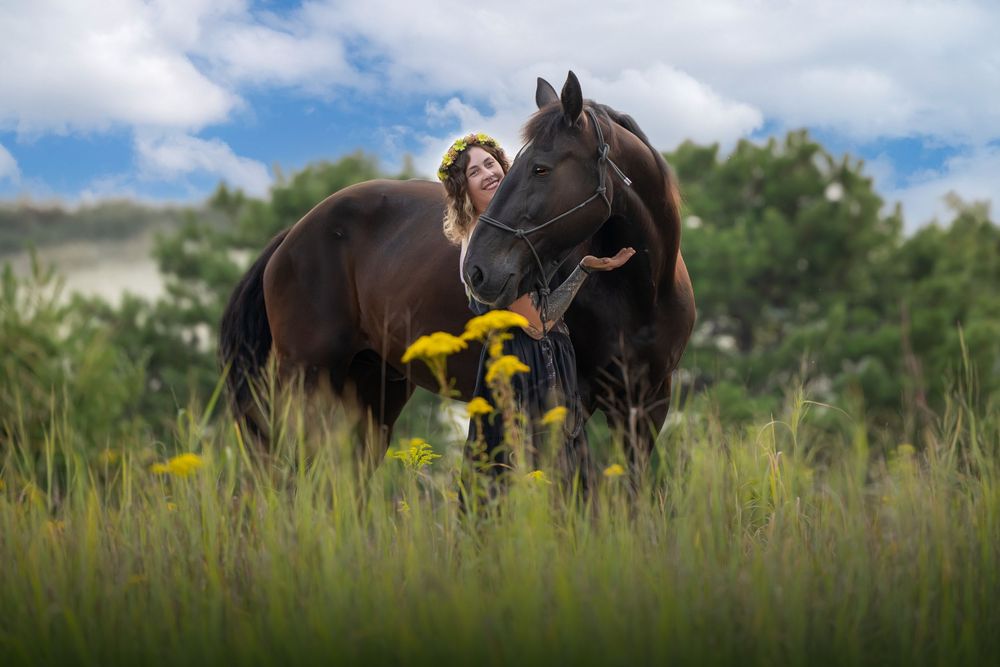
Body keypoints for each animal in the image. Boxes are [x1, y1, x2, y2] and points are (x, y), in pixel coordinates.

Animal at [219, 71, 695, 470]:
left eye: (540, 168)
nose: (478, 270)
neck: (641, 292)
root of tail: (293, 234)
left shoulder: (647, 406)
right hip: (307, 381)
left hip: (375, 387)